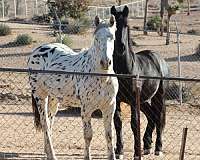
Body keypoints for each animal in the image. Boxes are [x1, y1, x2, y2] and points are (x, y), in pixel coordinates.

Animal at [27, 15, 119, 160]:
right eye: (96, 38)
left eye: (112, 37)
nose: (105, 62)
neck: (101, 77)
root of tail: (36, 51)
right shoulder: (86, 109)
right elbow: (88, 135)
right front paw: (87, 157)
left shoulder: (109, 107)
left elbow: (109, 135)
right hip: (40, 96)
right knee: (45, 123)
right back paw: (52, 155)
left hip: (54, 99)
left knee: (50, 122)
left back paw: (47, 152)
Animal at [111, 5, 170, 159]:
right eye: (113, 24)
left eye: (126, 24)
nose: (120, 48)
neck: (125, 68)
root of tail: (158, 58)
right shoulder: (117, 99)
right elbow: (118, 123)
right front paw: (119, 151)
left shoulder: (132, 101)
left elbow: (134, 123)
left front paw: (136, 153)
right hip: (143, 100)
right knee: (151, 116)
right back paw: (147, 145)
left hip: (158, 96)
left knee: (159, 117)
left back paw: (158, 148)